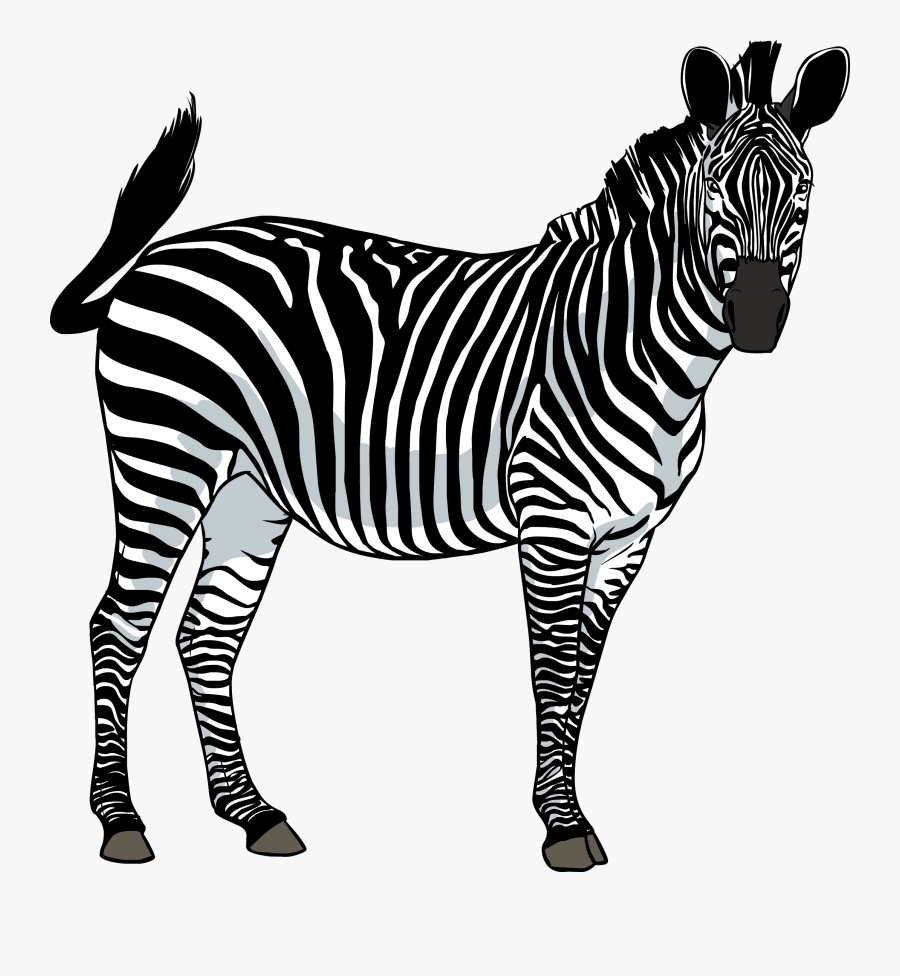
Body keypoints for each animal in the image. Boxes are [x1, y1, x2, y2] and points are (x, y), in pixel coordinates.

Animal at [52, 41, 849, 871]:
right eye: (717, 194)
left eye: (803, 192)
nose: (757, 321)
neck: (633, 341)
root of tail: (154, 260)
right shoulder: (554, 520)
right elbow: (551, 670)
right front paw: (561, 826)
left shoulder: (628, 539)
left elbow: (584, 679)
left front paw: (568, 810)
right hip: (162, 457)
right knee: (117, 625)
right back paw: (120, 820)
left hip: (249, 491)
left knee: (205, 635)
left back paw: (252, 814)